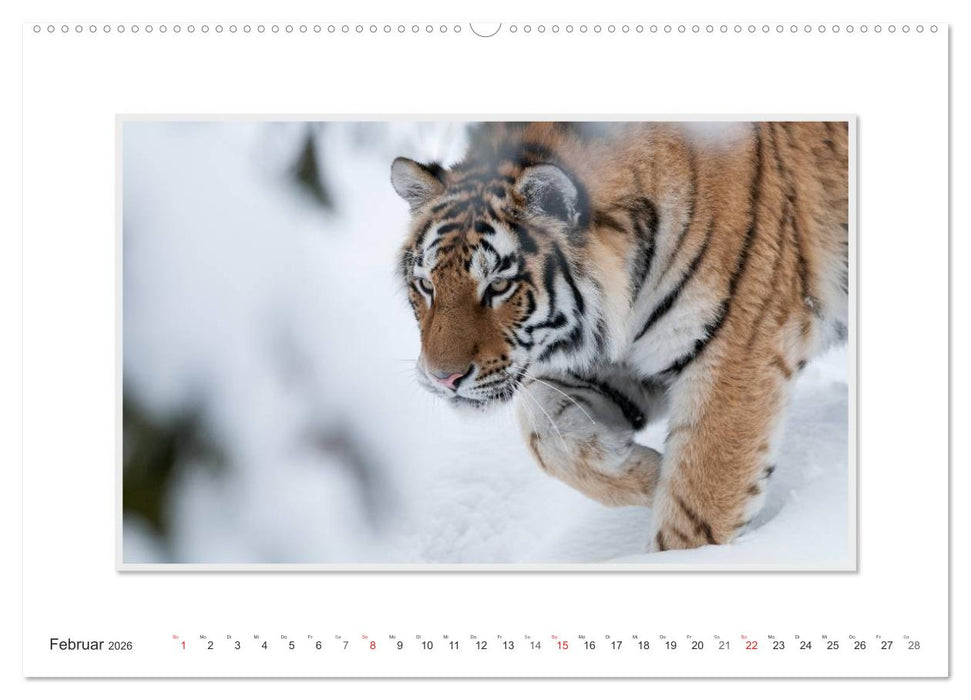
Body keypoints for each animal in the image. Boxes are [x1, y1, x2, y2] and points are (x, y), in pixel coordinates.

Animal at [391, 121, 848, 552]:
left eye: (499, 286)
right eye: (427, 285)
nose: (443, 378)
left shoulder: (734, 356)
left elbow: (699, 503)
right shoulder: (617, 358)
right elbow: (545, 434)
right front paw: (653, 476)